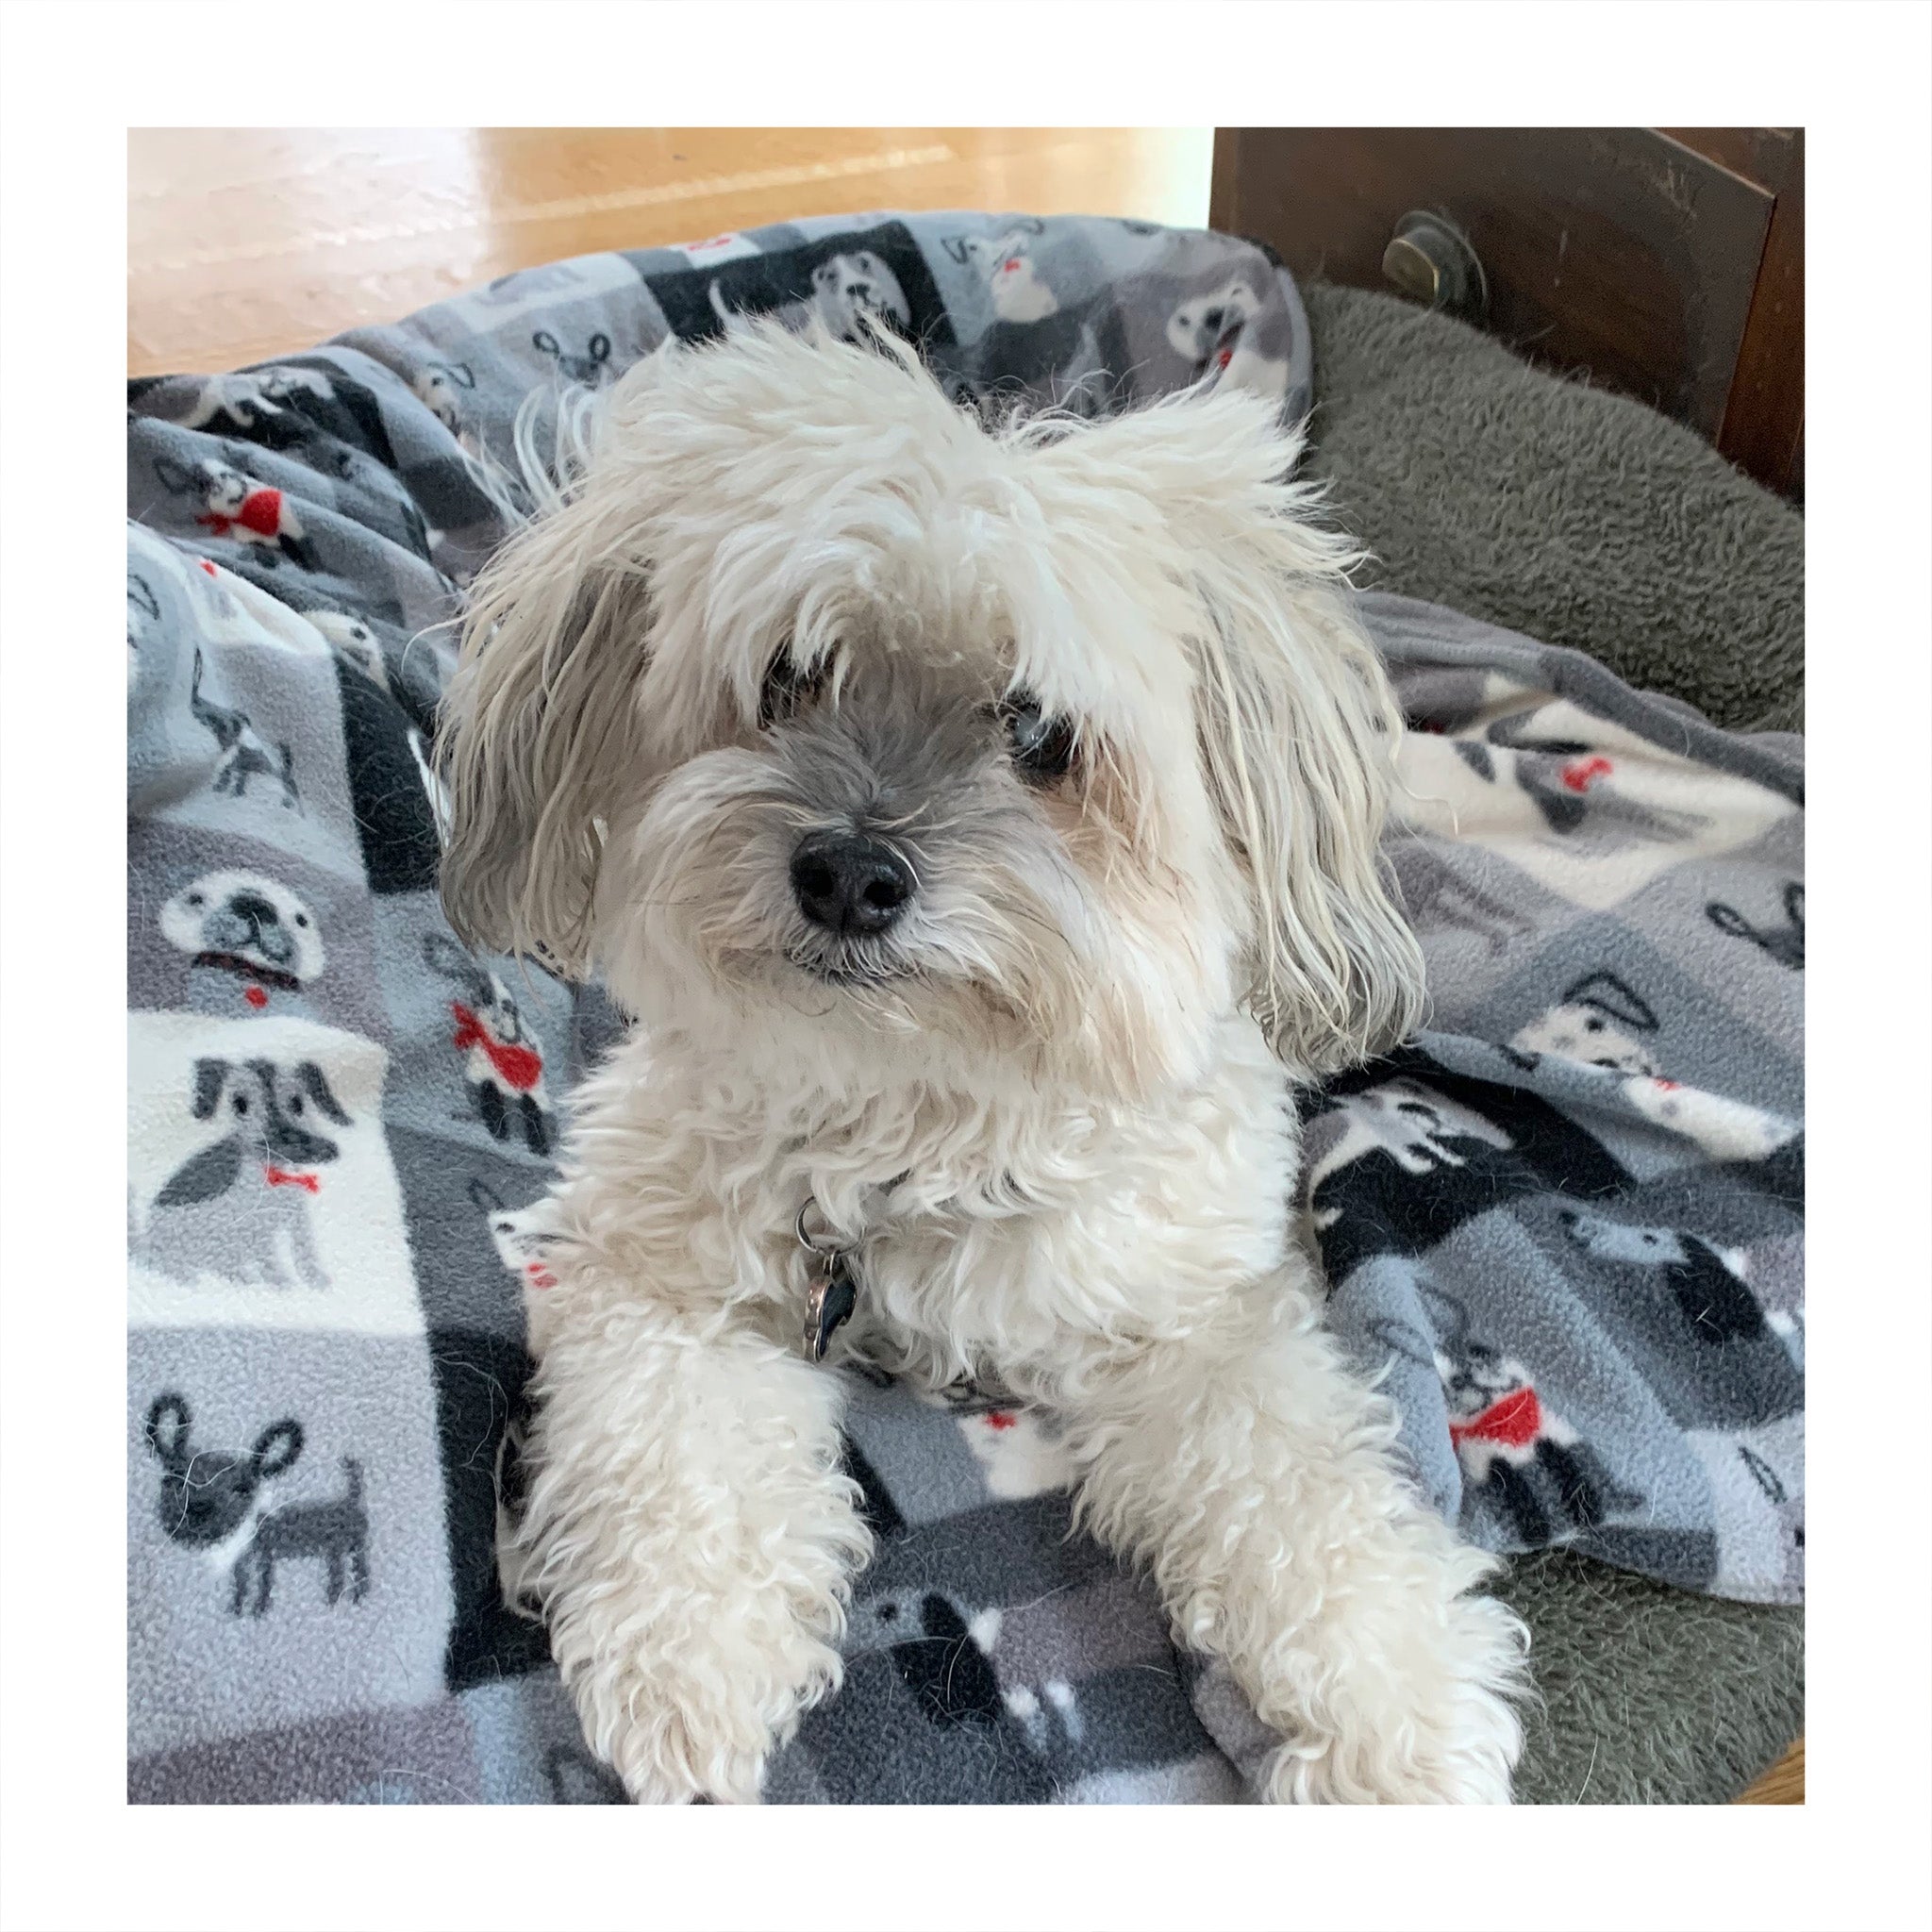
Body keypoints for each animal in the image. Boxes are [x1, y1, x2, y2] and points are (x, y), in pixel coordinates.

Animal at [438, 325, 1522, 1800]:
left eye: (1038, 732)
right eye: (789, 677)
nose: (849, 871)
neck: (920, 1111)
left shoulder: (1201, 1310)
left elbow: (1292, 1482)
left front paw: (1397, 1707)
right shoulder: (651, 1264)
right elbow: (675, 1445)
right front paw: (689, 1664)